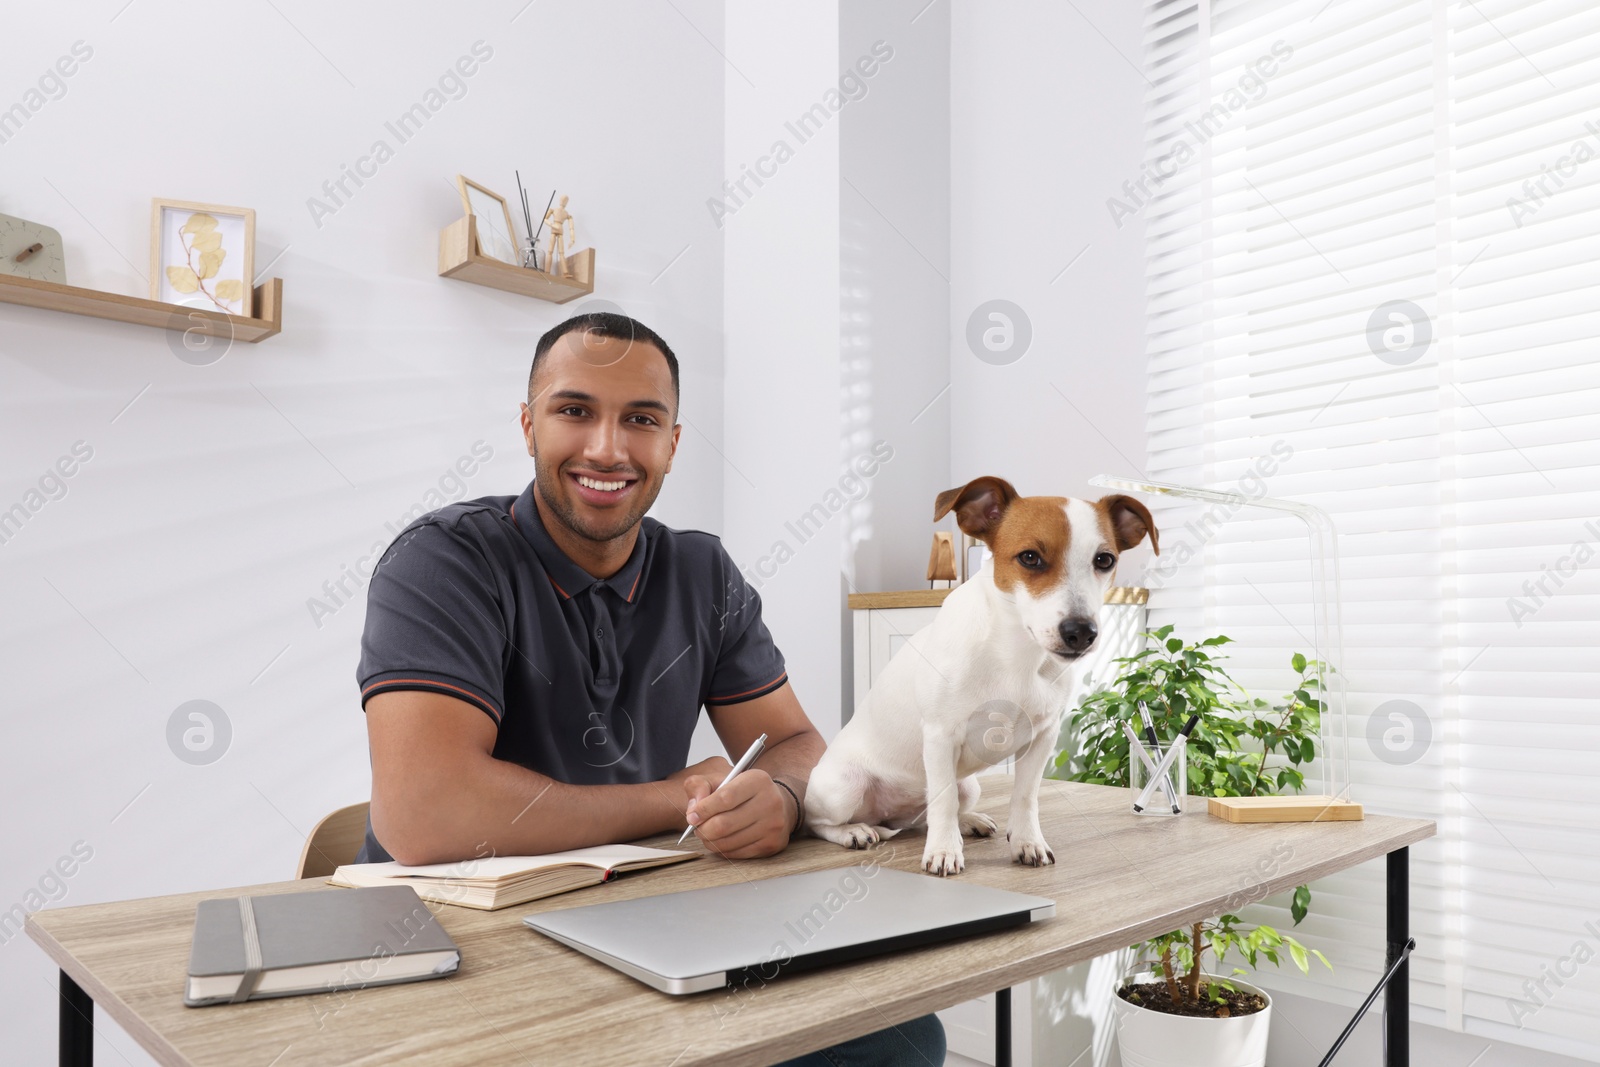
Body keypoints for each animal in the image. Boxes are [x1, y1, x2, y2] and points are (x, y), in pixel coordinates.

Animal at [806, 476, 1158, 876]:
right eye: (1029, 557)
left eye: (1104, 560)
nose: (1081, 632)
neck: (1016, 653)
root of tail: (889, 817)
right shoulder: (940, 737)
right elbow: (942, 801)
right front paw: (943, 852)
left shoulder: (1042, 738)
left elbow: (1025, 796)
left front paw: (1027, 842)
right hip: (843, 788)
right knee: (820, 824)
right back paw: (855, 831)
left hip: (969, 786)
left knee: (932, 815)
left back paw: (968, 821)